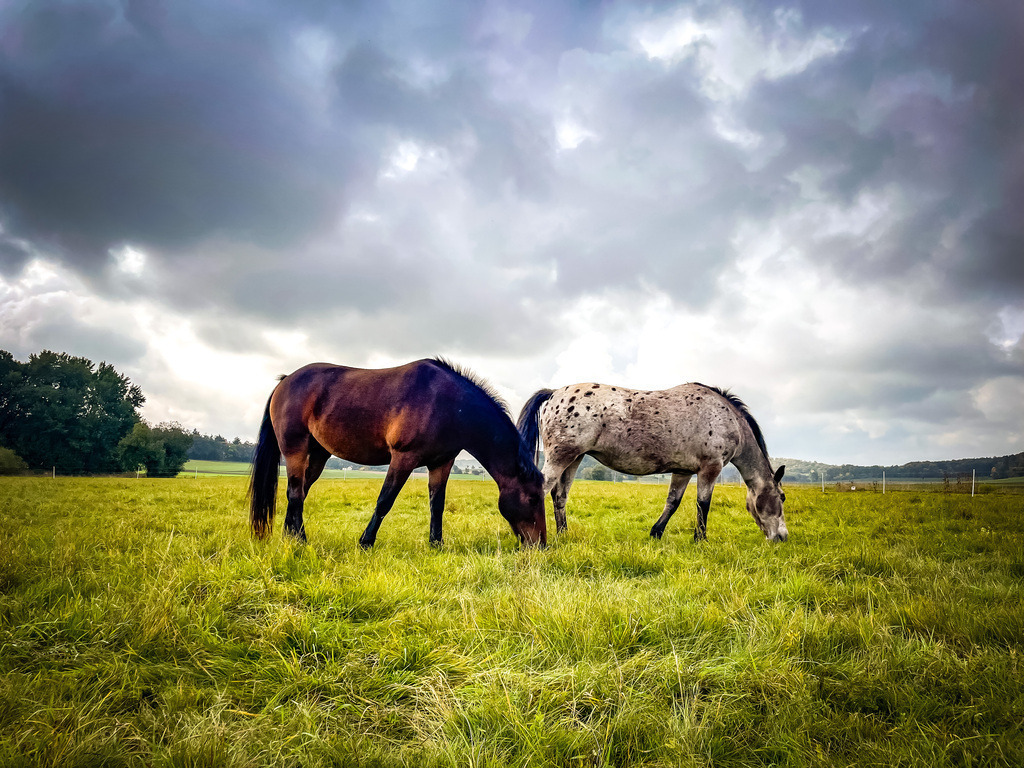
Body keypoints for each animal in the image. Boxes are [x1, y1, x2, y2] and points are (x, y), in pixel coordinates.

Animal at [249, 358, 546, 549]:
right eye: (532, 498)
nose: (541, 545)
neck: (450, 405)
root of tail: (285, 381)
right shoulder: (403, 458)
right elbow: (385, 501)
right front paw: (365, 542)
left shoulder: (442, 463)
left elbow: (437, 504)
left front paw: (436, 544)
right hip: (295, 449)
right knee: (295, 492)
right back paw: (300, 540)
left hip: (319, 454)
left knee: (300, 492)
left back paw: (290, 537)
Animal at [517, 381, 787, 542]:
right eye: (782, 498)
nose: (782, 536)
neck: (727, 417)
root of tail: (554, 393)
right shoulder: (710, 467)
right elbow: (703, 504)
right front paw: (701, 540)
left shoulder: (683, 471)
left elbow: (673, 502)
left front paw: (656, 533)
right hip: (560, 457)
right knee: (541, 491)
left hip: (573, 459)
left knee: (559, 496)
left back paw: (563, 535)